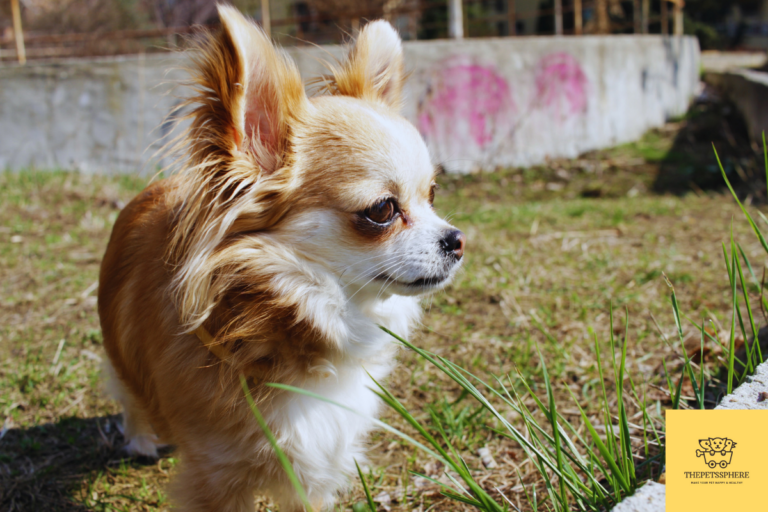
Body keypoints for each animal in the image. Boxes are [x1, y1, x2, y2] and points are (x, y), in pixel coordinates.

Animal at [99, 6, 464, 510]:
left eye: (432, 194)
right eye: (382, 210)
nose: (456, 240)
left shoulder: (315, 469)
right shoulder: (215, 475)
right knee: (127, 391)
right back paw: (140, 438)